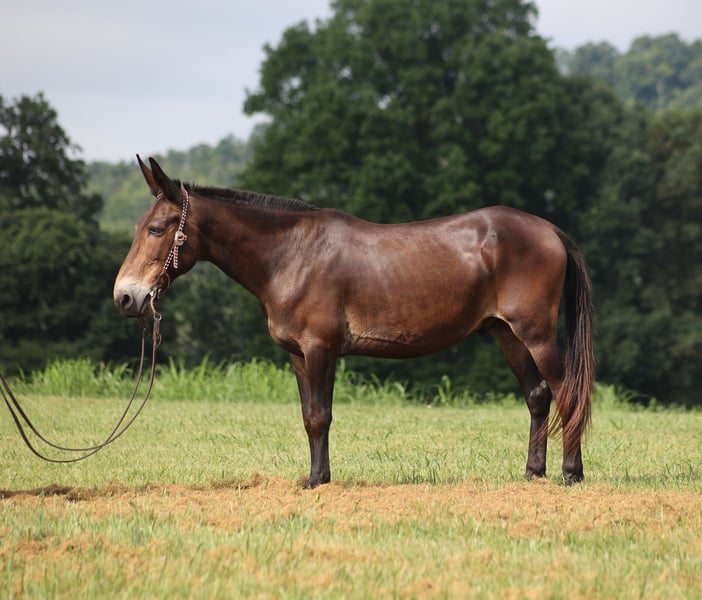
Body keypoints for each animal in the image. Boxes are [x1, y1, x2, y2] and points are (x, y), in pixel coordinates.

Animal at [114, 156, 594, 488]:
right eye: (138, 226)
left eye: (157, 229)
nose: (126, 297)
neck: (291, 254)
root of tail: (550, 230)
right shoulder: (298, 355)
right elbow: (308, 415)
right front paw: (316, 477)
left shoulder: (321, 349)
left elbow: (320, 416)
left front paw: (317, 481)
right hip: (505, 333)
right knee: (537, 395)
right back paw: (533, 473)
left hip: (535, 333)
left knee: (567, 392)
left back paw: (572, 473)